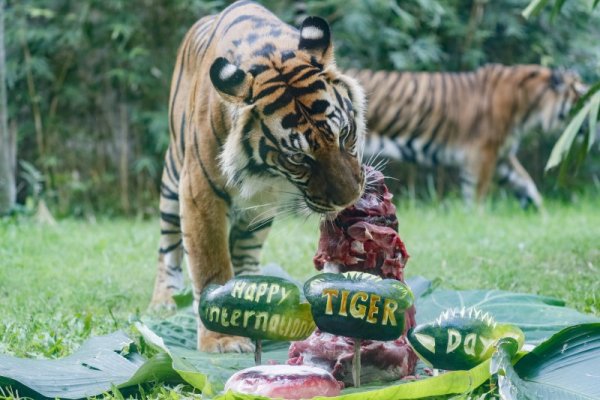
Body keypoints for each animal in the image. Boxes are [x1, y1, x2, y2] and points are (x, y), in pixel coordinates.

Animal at [149, 0, 366, 352]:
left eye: (344, 134)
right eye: (298, 157)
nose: (349, 199)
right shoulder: (199, 192)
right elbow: (210, 263)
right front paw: (222, 339)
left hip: (258, 214)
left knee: (245, 252)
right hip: (172, 181)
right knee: (167, 249)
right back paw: (163, 302)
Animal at [346, 64, 584, 208]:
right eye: (581, 97)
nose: (590, 122)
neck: (529, 107)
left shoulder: (501, 156)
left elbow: (525, 182)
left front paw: (542, 214)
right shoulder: (483, 153)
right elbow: (476, 193)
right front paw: (477, 218)